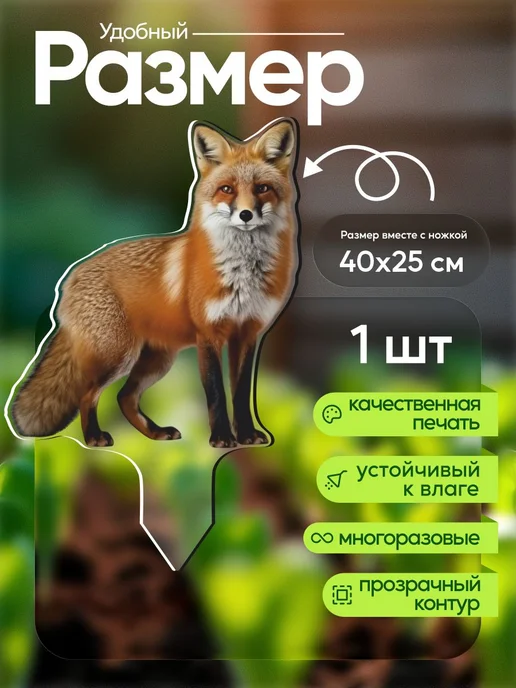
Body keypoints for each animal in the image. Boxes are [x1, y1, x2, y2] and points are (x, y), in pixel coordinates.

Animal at [11, 119, 299, 449]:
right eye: (227, 189)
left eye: (262, 188)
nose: (246, 214)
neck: (243, 274)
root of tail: (69, 278)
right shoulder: (209, 335)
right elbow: (216, 394)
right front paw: (222, 438)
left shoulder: (247, 334)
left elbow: (240, 395)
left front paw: (248, 436)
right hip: (118, 357)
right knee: (89, 394)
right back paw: (95, 437)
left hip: (157, 360)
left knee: (124, 397)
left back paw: (156, 433)